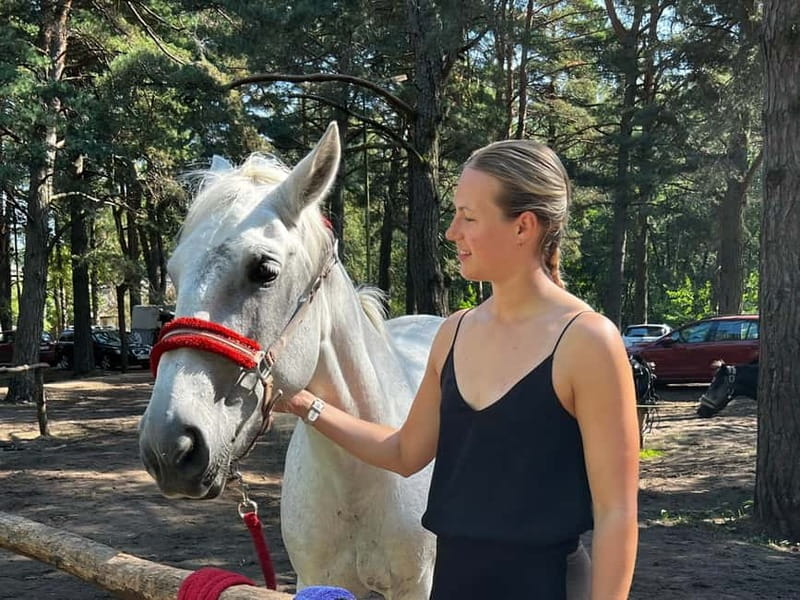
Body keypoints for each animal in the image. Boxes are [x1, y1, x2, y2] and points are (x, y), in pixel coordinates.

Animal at [137, 122, 441, 599]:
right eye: (174, 273)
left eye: (265, 270)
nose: (169, 448)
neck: (360, 479)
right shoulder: (315, 579)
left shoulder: (417, 586)